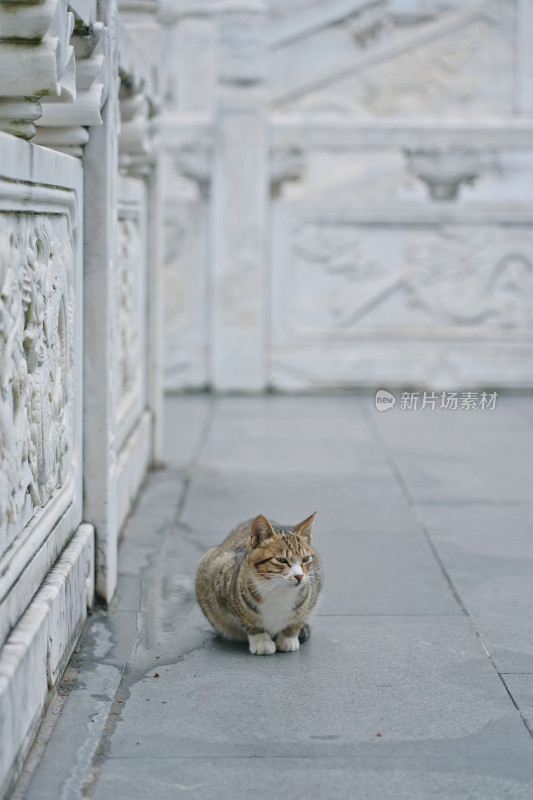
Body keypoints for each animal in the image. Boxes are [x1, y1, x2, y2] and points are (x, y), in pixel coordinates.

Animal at [194, 516, 322, 652]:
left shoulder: (313, 588)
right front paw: (262, 640)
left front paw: (289, 637)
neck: (279, 591)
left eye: (305, 559)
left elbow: (299, 617)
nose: (299, 576)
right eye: (281, 560)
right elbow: (249, 620)